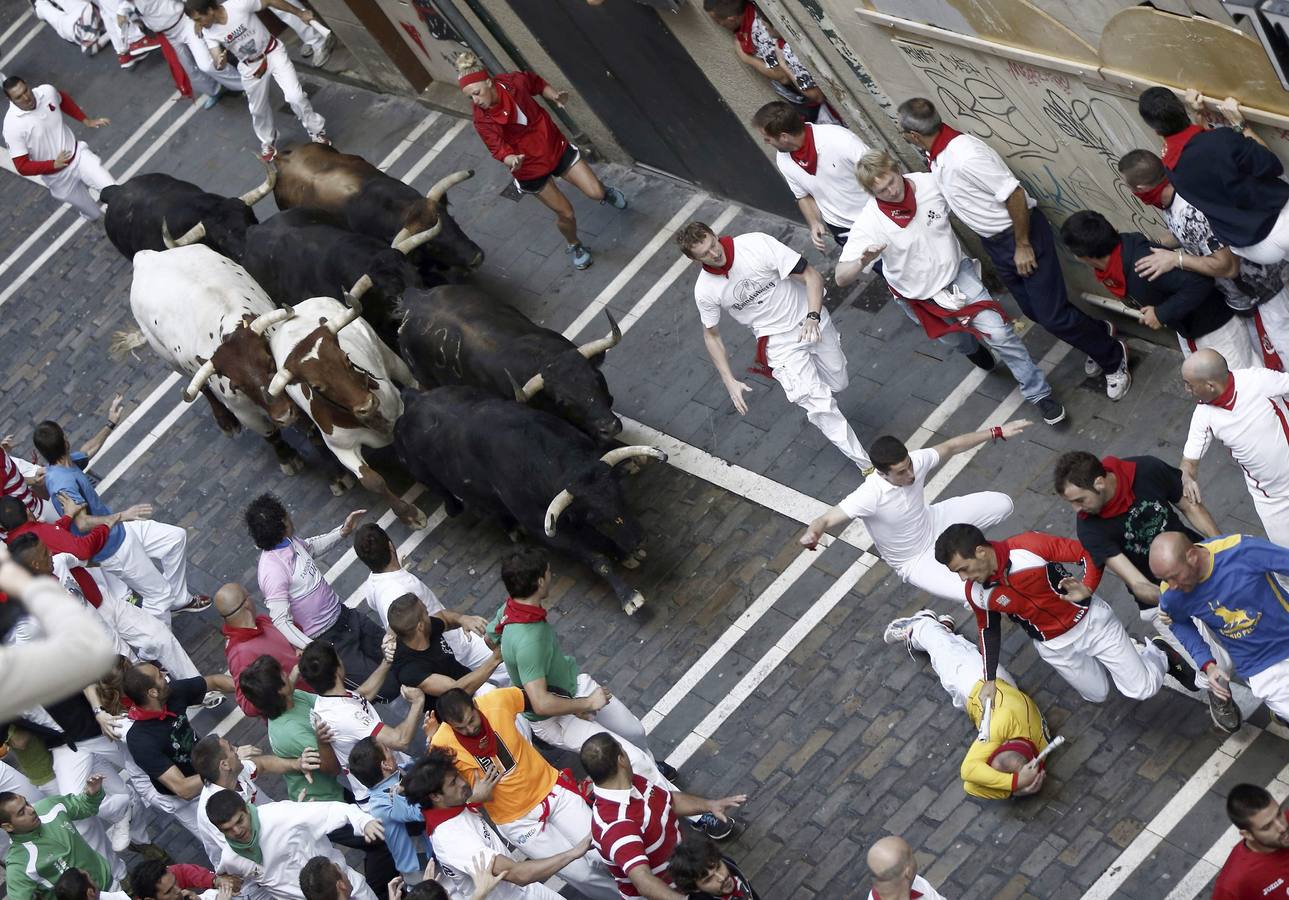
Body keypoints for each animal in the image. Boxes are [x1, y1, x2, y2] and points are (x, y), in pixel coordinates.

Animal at [112, 242, 304, 474]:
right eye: (238, 386)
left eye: (269, 362)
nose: (283, 415)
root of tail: (144, 257)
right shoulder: (245, 412)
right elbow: (271, 435)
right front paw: (287, 458)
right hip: (171, 360)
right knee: (200, 387)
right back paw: (225, 422)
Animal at [264, 287, 425, 526]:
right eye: (316, 386)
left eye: (347, 359)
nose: (367, 404)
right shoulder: (341, 447)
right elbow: (372, 481)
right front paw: (408, 514)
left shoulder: (399, 409)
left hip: (390, 357)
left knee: (409, 378)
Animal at [394, 381, 665, 613]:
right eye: (594, 516)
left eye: (620, 494)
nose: (639, 539)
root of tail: (414, 397)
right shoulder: (548, 530)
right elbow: (597, 559)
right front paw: (629, 596)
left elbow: (604, 540)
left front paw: (626, 555)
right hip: (423, 474)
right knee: (451, 494)